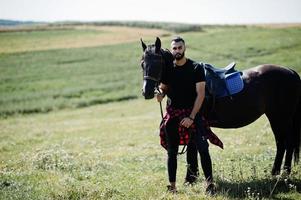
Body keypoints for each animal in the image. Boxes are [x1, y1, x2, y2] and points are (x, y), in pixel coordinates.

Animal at [141, 37, 300, 175]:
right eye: (142, 63)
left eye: (157, 63)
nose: (146, 92)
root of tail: (291, 72)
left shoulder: (192, 122)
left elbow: (192, 151)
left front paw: (190, 178)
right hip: (278, 118)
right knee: (283, 143)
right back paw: (277, 172)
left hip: (281, 118)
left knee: (286, 142)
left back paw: (283, 173)